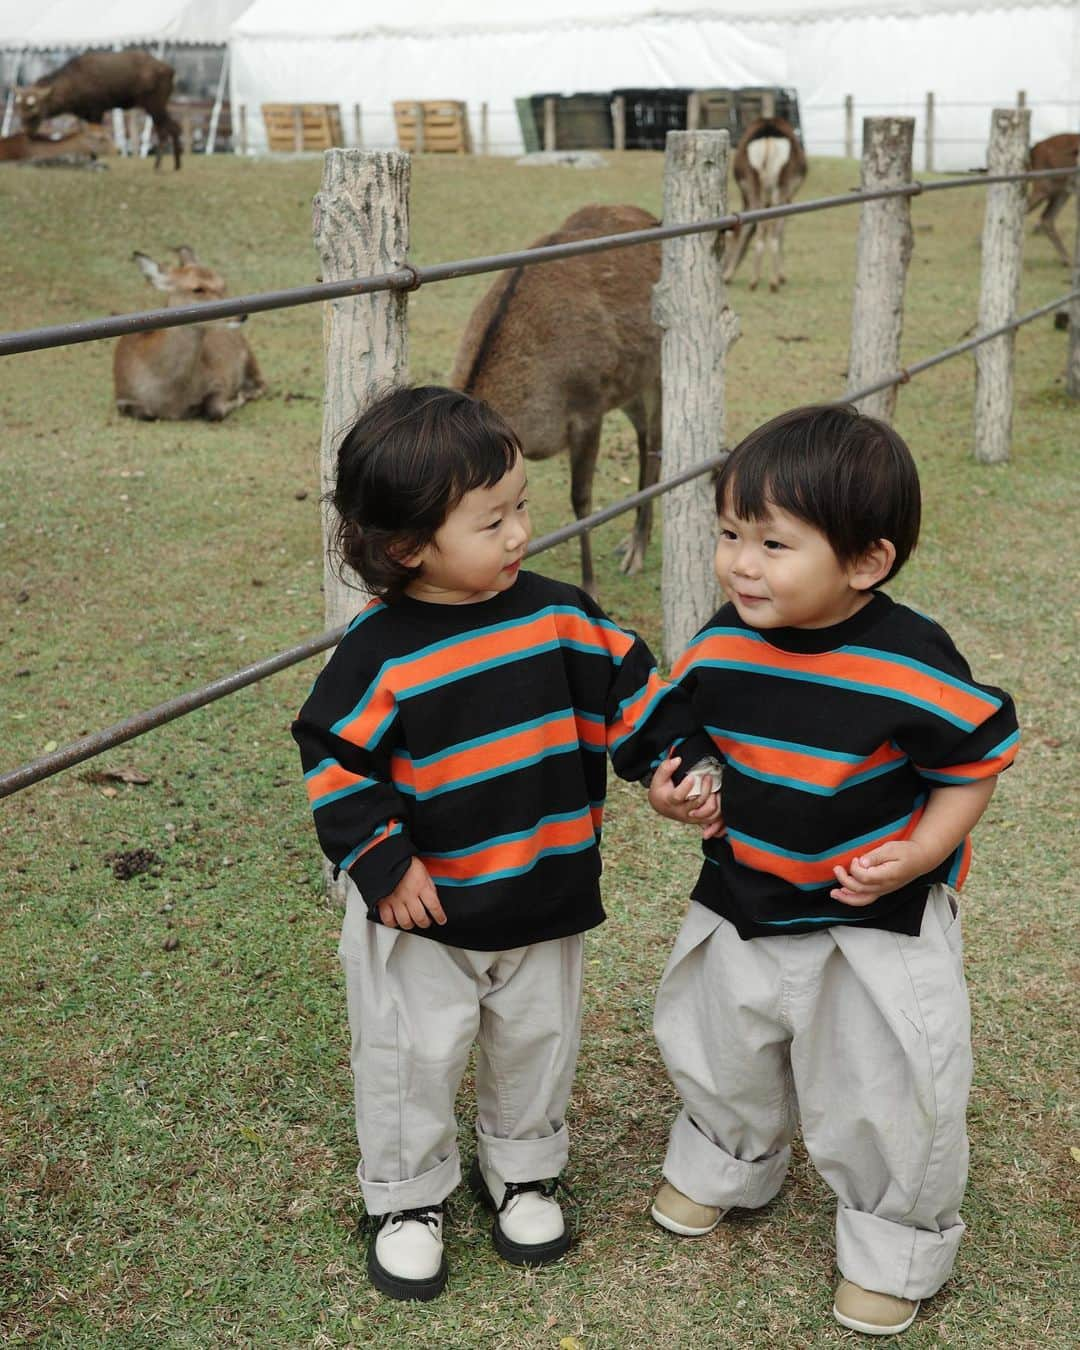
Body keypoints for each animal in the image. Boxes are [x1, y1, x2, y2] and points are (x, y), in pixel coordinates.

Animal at [16, 49, 180, 170]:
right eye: (18, 110)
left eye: (34, 111)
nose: (27, 133)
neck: (72, 95)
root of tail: (171, 71)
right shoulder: (82, 113)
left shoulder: (96, 108)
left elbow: (95, 134)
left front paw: (95, 161)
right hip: (158, 103)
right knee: (173, 126)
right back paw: (176, 165)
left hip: (154, 102)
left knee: (166, 129)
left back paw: (159, 166)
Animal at [112, 248, 267, 421]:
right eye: (197, 289)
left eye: (223, 283)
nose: (241, 314)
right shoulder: (122, 397)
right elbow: (146, 413)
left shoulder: (220, 378)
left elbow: (215, 410)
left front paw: (238, 397)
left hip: (249, 357)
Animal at [448, 201, 661, 596]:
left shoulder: (588, 408)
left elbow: (581, 500)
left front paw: (590, 586)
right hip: (629, 382)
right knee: (644, 435)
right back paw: (633, 541)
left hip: (656, 369)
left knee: (655, 439)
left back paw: (636, 550)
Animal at [723, 117, 804, 294]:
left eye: (725, 245)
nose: (722, 270)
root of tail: (768, 135)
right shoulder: (789, 197)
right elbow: (779, 229)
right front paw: (782, 276)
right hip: (780, 184)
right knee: (772, 226)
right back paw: (770, 282)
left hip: (753, 182)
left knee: (755, 223)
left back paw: (752, 279)